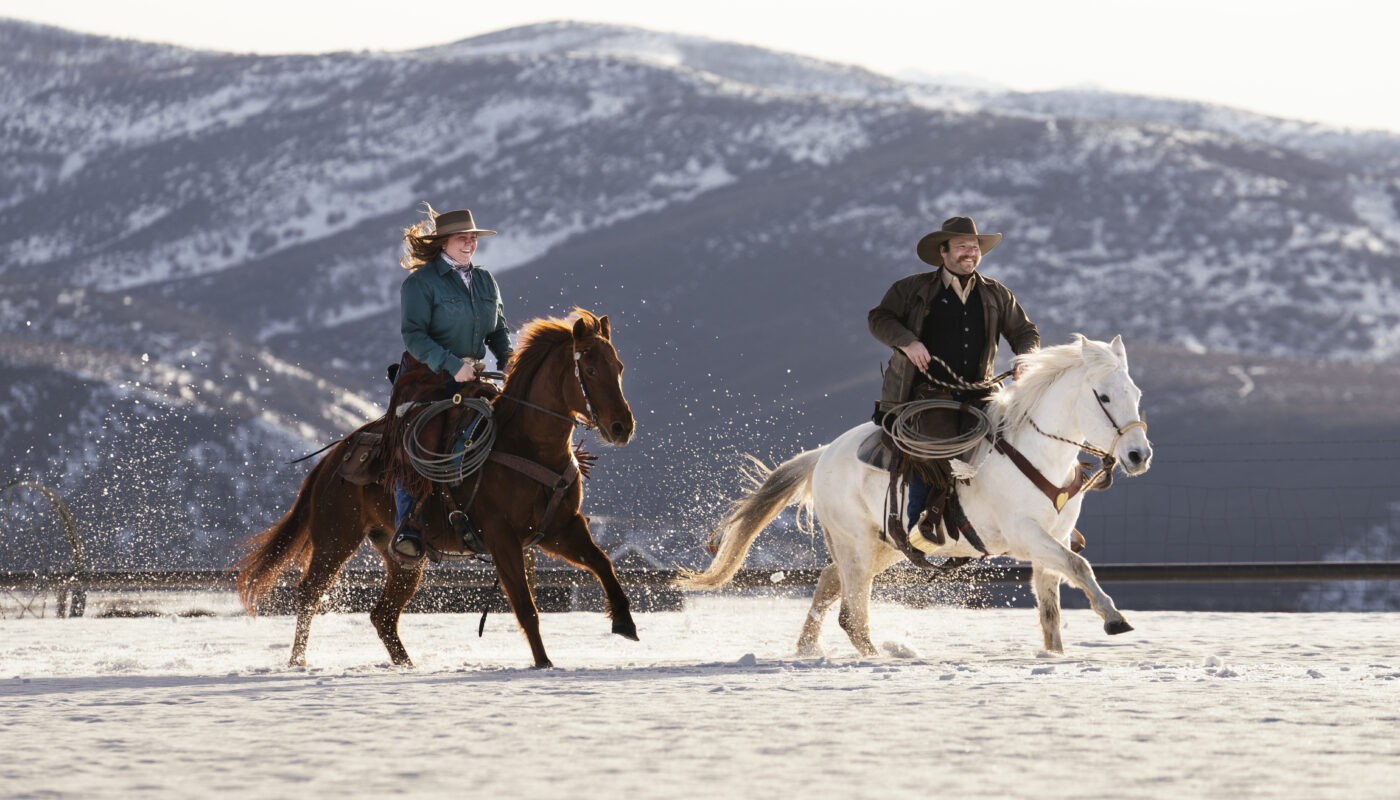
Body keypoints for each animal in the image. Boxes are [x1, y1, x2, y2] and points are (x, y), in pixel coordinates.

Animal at [236, 309, 636, 669]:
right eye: (589, 370)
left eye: (618, 367)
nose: (622, 427)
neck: (525, 444)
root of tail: (334, 456)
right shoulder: (502, 538)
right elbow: (526, 606)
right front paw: (543, 664)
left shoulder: (560, 529)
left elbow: (602, 563)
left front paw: (624, 622)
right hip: (335, 538)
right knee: (311, 593)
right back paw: (297, 661)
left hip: (402, 556)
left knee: (382, 615)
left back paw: (406, 665)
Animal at [678, 334, 1153, 657]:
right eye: (1104, 396)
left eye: (1136, 393)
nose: (1138, 455)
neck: (1035, 453)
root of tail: (823, 454)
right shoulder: (1026, 536)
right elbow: (1079, 565)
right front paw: (1114, 619)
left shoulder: (1052, 538)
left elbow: (1051, 606)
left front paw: (1055, 654)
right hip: (856, 542)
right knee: (852, 612)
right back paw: (880, 659)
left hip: (886, 544)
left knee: (830, 582)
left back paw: (808, 650)